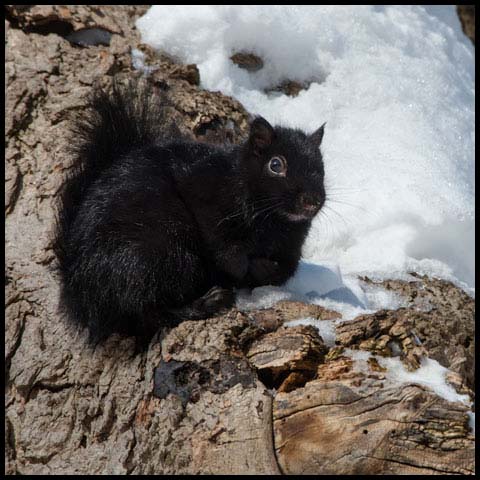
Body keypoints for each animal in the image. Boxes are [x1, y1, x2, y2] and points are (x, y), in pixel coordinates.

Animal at [55, 80, 326, 344]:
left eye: (321, 167)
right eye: (276, 165)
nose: (312, 201)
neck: (275, 222)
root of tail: (80, 293)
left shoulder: (290, 248)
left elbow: (284, 270)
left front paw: (264, 268)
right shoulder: (203, 190)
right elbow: (225, 248)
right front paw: (242, 266)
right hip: (158, 250)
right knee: (149, 311)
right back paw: (208, 302)